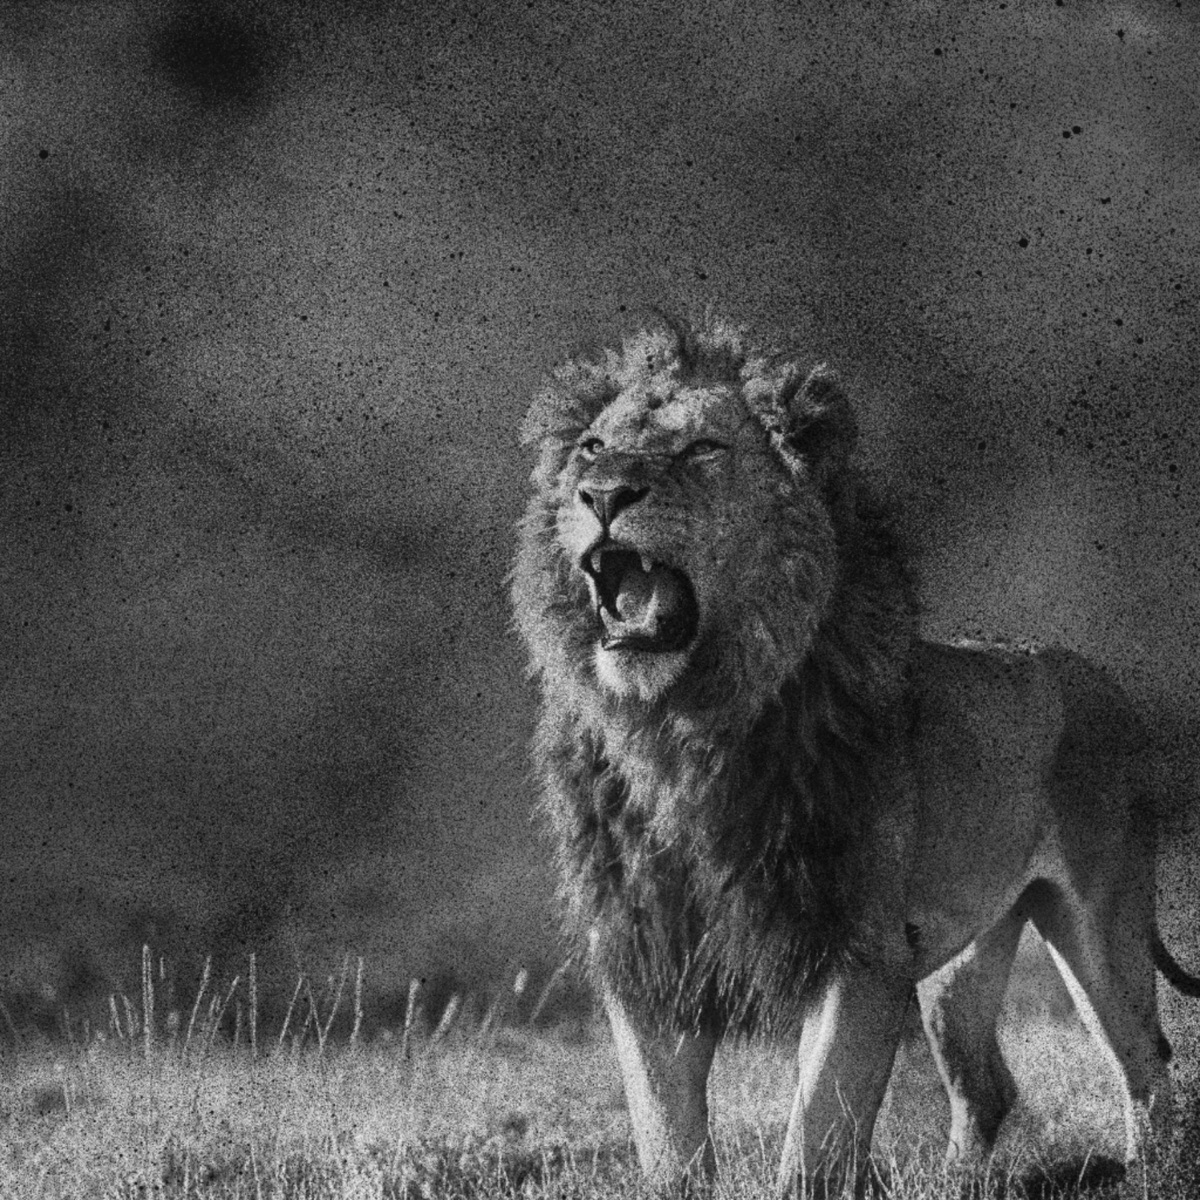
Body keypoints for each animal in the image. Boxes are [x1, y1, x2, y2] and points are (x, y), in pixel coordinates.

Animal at [511, 314, 1200, 1194]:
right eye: (592, 448)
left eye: (703, 449)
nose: (601, 496)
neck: (681, 731)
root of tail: (1093, 673)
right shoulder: (652, 956)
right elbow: (667, 1140)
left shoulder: (858, 951)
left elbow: (820, 1133)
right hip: (960, 958)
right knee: (987, 1085)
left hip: (1100, 919)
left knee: (1144, 1062)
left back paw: (1153, 1174)